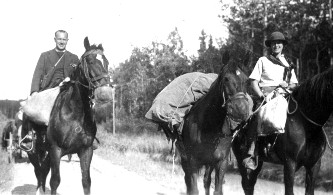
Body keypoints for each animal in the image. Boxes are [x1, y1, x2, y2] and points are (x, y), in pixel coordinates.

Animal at [20, 37, 111, 195]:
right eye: (90, 61)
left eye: (106, 62)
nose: (105, 93)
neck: (76, 115)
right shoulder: (55, 150)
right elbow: (55, 181)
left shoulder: (86, 151)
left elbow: (86, 182)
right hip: (34, 153)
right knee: (39, 173)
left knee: (43, 172)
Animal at [178, 52, 253, 194]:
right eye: (226, 79)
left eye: (247, 80)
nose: (240, 109)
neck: (209, 126)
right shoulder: (192, 162)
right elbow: (193, 189)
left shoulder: (221, 163)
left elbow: (217, 190)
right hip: (186, 160)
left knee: (206, 180)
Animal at [231, 66, 332, 194]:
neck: (307, 126)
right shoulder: (289, 163)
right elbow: (289, 191)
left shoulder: (314, 165)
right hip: (240, 159)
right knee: (246, 184)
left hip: (259, 162)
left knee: (251, 184)